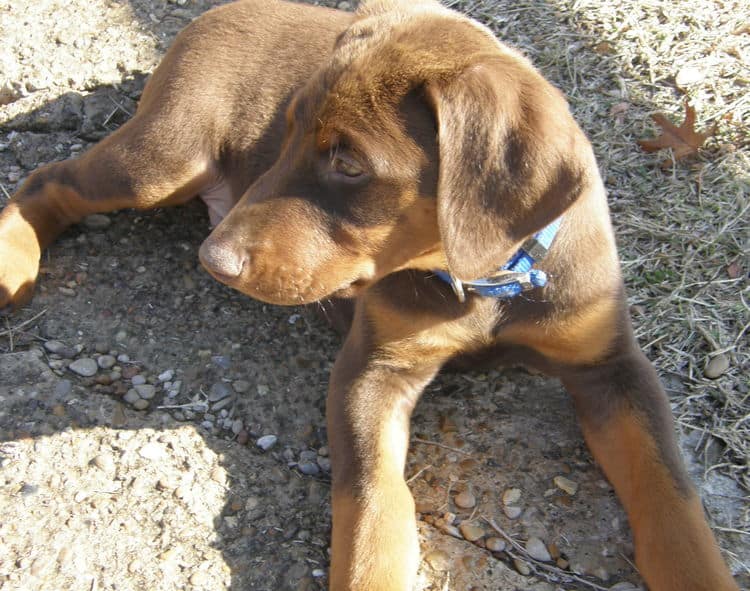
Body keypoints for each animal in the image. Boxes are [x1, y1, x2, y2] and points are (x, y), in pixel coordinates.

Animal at [0, 1, 740, 591]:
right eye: (287, 133)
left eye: (350, 164)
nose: (214, 260)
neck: (479, 278)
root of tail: (209, 14)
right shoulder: (375, 367)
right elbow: (374, 503)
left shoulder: (610, 365)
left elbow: (673, 495)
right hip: (166, 155)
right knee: (49, 178)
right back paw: (12, 259)